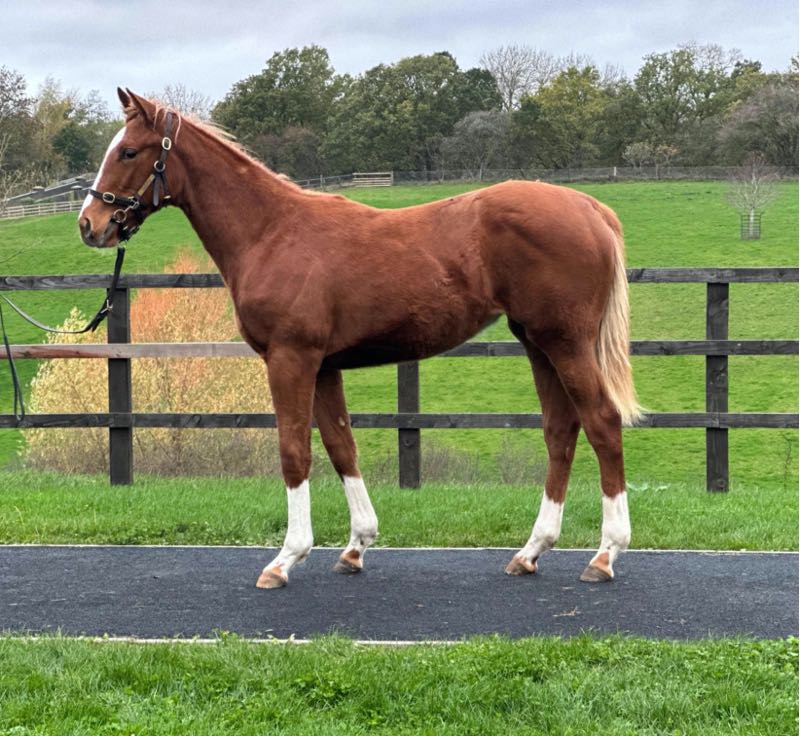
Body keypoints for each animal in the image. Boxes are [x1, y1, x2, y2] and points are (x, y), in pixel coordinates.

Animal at [79, 89, 641, 589]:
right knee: (560, 432)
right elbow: (340, 445)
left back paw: (606, 555)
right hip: (538, 344)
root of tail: (591, 208)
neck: (271, 232)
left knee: (602, 423)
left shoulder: (291, 360)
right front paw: (356, 546)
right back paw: (531, 552)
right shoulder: (325, 366)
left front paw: (285, 559)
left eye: (129, 151)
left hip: (565, 343)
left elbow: (294, 451)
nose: (90, 225)